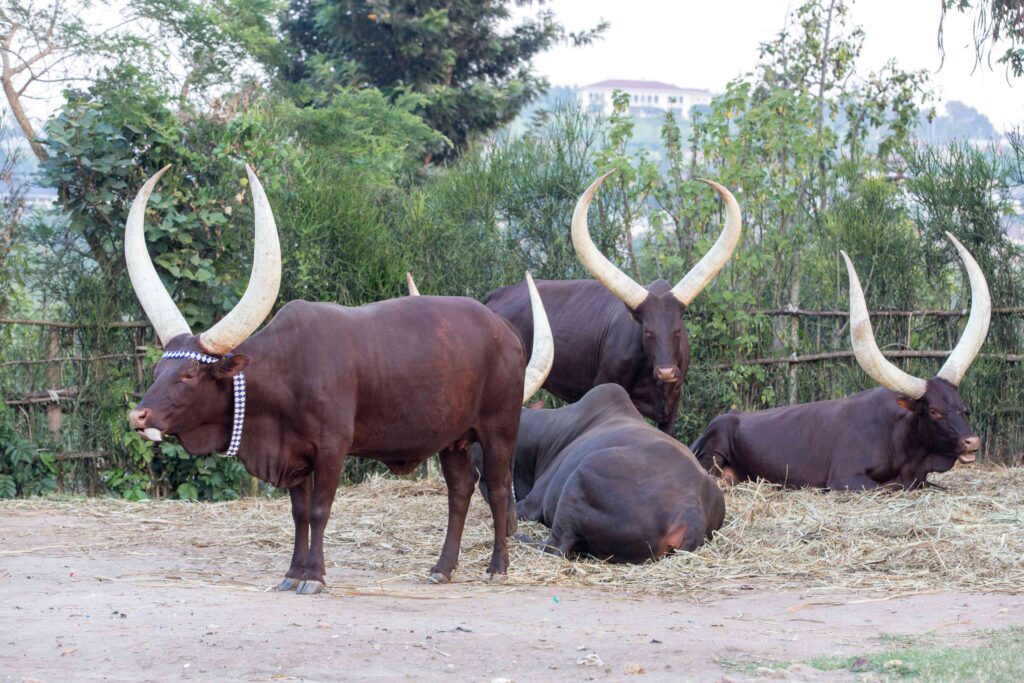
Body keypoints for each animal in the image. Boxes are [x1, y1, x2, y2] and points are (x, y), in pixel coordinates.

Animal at [125, 165, 554, 594]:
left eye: (189, 373)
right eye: (157, 371)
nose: (138, 416)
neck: (288, 371)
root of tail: (505, 332)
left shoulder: (332, 448)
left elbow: (319, 510)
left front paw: (314, 576)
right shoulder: (295, 456)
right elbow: (299, 514)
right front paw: (292, 573)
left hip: (499, 428)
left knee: (496, 489)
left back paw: (498, 566)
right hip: (452, 439)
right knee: (460, 490)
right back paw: (442, 568)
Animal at [691, 233, 990, 491]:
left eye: (963, 408)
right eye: (935, 411)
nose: (971, 441)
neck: (900, 436)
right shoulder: (846, 478)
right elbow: (890, 487)